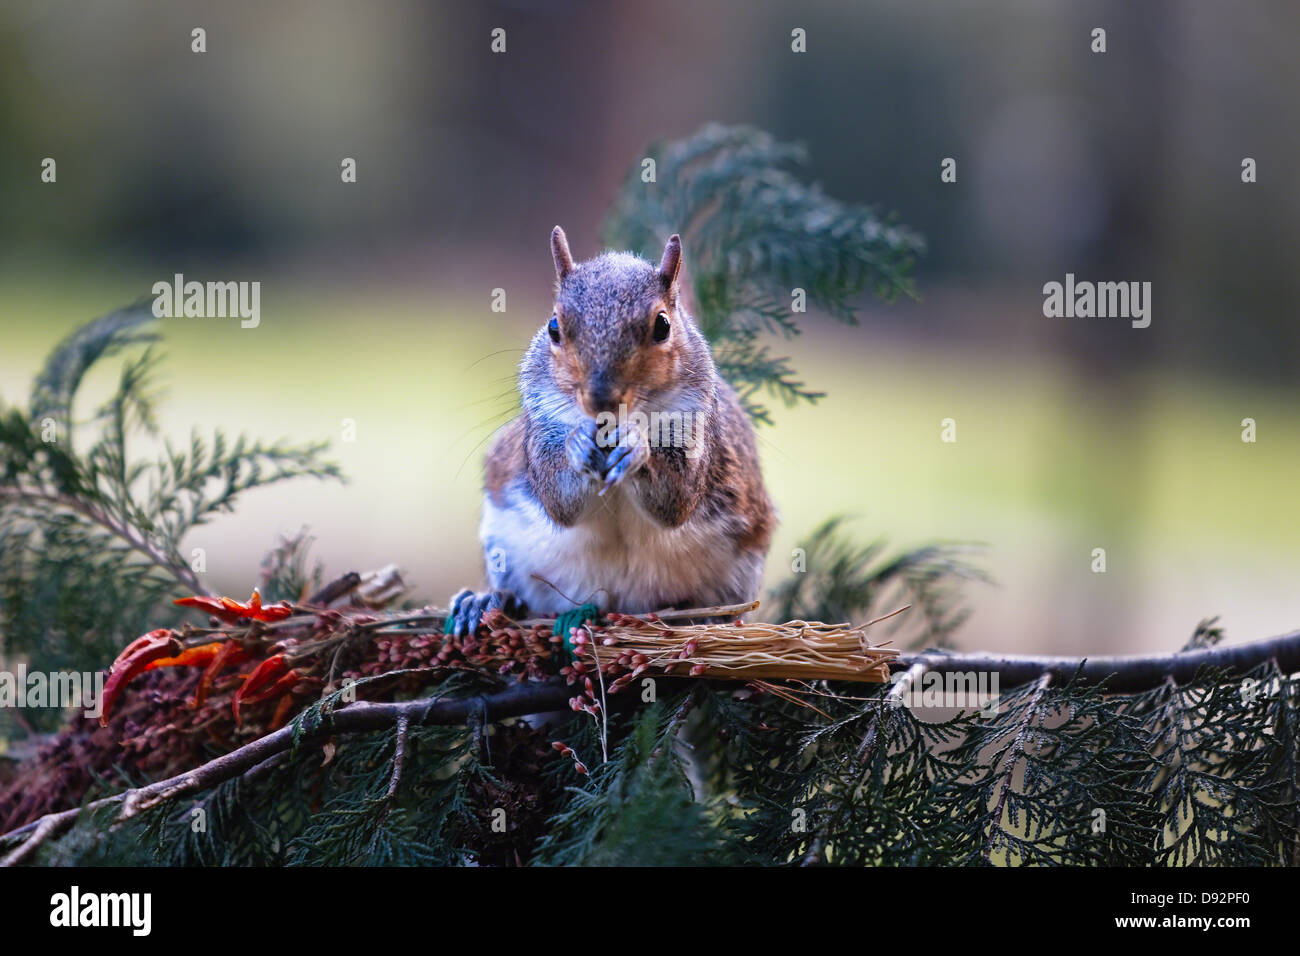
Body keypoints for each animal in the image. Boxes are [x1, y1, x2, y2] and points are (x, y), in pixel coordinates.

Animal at [446, 226, 775, 636]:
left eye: (662, 326)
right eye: (554, 326)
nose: (601, 398)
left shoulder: (698, 434)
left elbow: (676, 500)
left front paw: (636, 449)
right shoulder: (542, 429)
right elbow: (559, 502)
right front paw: (577, 446)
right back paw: (486, 601)